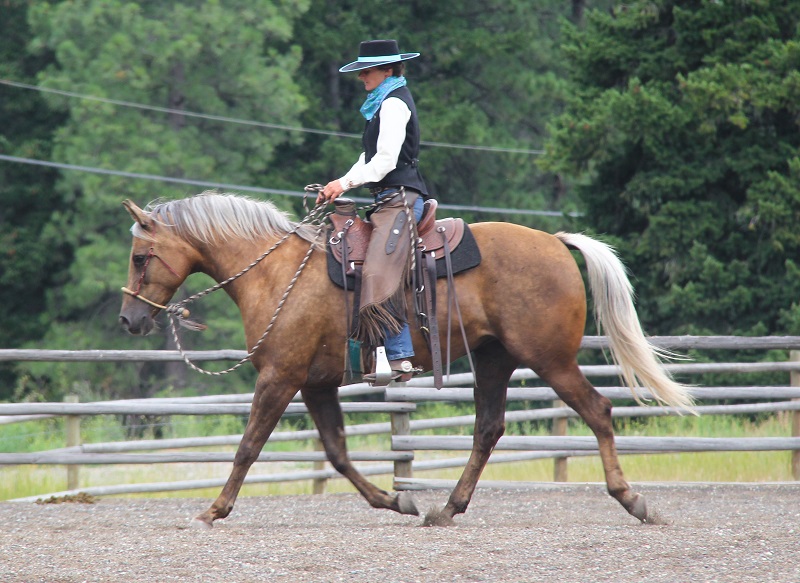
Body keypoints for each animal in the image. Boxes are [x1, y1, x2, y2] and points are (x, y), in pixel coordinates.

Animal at [118, 191, 694, 528]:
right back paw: (445, 509)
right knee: (488, 429)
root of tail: (556, 242)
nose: (129, 319)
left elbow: (248, 447)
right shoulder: (315, 384)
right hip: (494, 361)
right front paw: (396, 501)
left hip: (551, 360)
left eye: (141, 257)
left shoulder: (279, 377)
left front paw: (213, 509)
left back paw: (633, 500)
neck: (276, 273)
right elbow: (337, 453)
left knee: (598, 411)